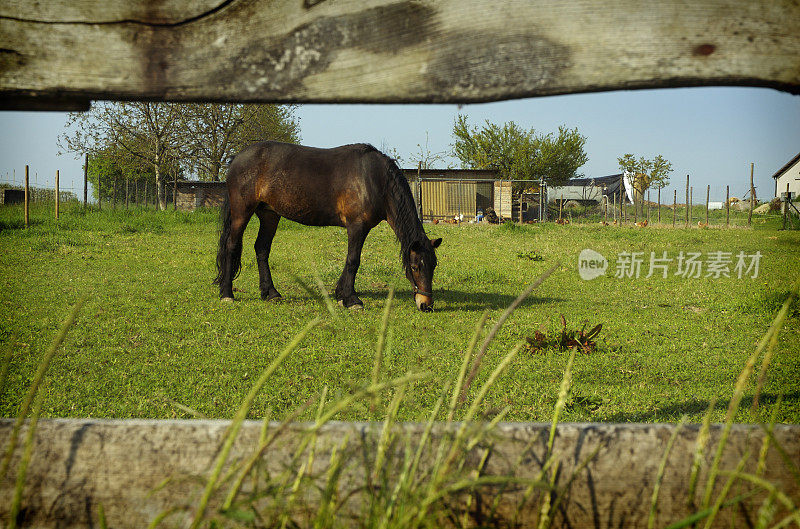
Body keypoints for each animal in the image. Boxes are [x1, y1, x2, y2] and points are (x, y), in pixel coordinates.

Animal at [211, 142, 444, 312]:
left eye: (433, 266)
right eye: (415, 267)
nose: (426, 305)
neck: (375, 179)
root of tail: (237, 158)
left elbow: (350, 261)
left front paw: (341, 295)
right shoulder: (357, 226)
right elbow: (353, 260)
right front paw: (352, 299)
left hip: (269, 214)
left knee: (261, 249)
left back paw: (271, 293)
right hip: (242, 212)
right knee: (232, 246)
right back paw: (227, 294)